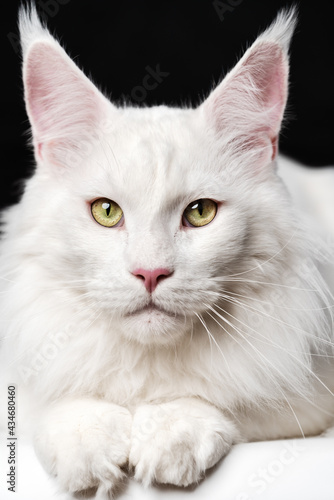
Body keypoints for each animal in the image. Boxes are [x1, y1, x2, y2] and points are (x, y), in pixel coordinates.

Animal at [0, 2, 334, 496]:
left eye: (200, 212)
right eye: (105, 212)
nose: (150, 273)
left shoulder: (306, 386)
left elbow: (227, 398)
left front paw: (169, 434)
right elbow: (50, 401)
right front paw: (87, 443)